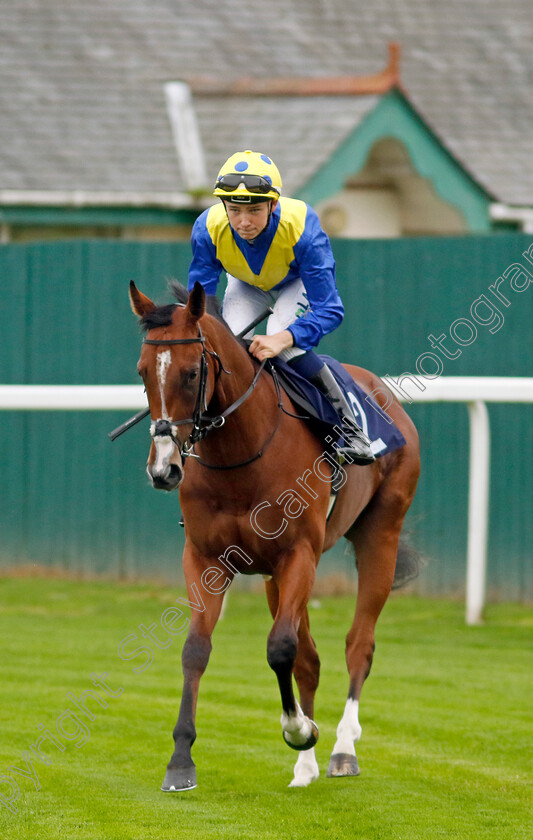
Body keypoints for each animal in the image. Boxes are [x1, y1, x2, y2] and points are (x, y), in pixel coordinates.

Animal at [129, 278, 420, 792]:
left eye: (190, 373)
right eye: (143, 372)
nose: (164, 470)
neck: (240, 453)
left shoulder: (299, 553)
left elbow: (280, 648)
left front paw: (299, 729)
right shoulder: (205, 558)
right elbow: (196, 650)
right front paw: (180, 760)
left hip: (380, 534)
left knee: (358, 645)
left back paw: (342, 748)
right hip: (271, 577)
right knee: (311, 659)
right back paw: (305, 768)